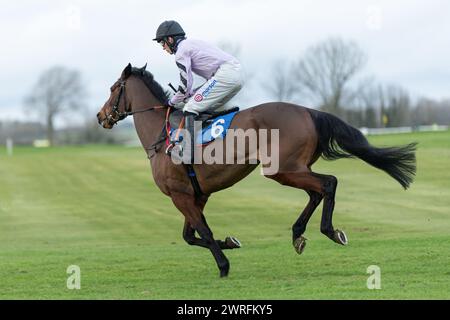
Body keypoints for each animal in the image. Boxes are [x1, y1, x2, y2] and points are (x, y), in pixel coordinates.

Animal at [96, 63, 416, 278]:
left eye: (113, 89)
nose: (101, 116)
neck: (162, 136)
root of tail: (308, 111)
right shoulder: (196, 194)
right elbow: (190, 235)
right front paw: (229, 243)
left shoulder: (180, 195)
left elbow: (202, 231)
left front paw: (223, 266)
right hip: (295, 167)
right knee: (317, 191)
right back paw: (298, 234)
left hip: (282, 169)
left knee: (328, 183)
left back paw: (329, 231)